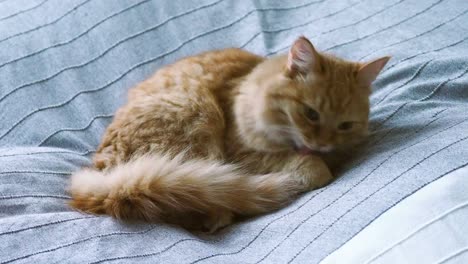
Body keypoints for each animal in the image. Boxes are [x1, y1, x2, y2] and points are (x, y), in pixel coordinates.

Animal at [69, 36, 390, 232]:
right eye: (310, 113)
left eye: (344, 126)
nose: (321, 144)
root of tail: (107, 180)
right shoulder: (242, 151)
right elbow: (313, 168)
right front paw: (311, 170)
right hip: (196, 117)